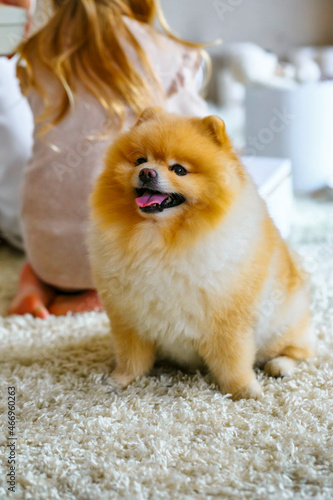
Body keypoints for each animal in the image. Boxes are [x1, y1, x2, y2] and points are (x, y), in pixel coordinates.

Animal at [87, 107, 312, 400]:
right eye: (140, 160)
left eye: (179, 170)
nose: (147, 172)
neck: (158, 239)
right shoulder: (129, 319)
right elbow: (132, 358)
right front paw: (120, 381)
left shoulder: (228, 321)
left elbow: (233, 360)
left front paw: (244, 390)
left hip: (283, 323)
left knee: (300, 351)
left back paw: (280, 365)